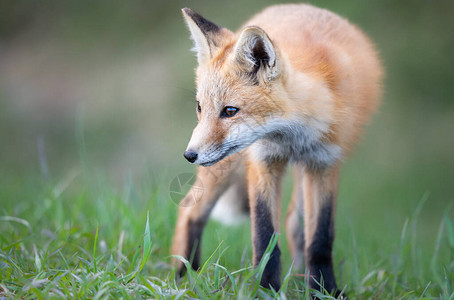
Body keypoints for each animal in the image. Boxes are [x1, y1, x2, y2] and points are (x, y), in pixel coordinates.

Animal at [172, 3, 382, 296]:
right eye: (200, 107)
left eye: (230, 111)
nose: (189, 155)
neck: (292, 137)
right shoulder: (263, 160)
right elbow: (264, 236)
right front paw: (265, 289)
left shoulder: (324, 162)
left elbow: (320, 239)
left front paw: (324, 290)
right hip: (229, 164)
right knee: (189, 210)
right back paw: (184, 274)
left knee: (294, 222)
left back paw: (300, 278)